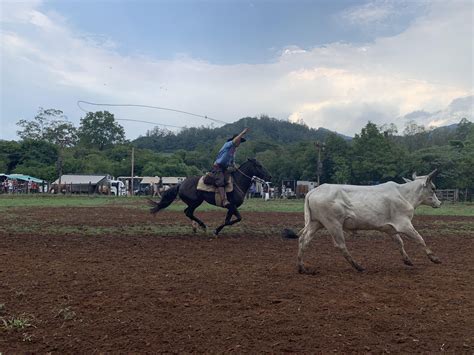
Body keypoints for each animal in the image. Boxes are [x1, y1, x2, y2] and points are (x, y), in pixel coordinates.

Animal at [298, 171, 442, 274]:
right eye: (433, 188)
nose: (439, 203)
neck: (404, 194)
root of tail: (313, 191)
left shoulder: (390, 228)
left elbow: (399, 242)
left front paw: (407, 260)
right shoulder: (404, 224)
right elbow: (420, 239)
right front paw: (434, 258)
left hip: (316, 223)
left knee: (303, 240)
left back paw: (301, 267)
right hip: (333, 224)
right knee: (341, 245)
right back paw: (358, 266)